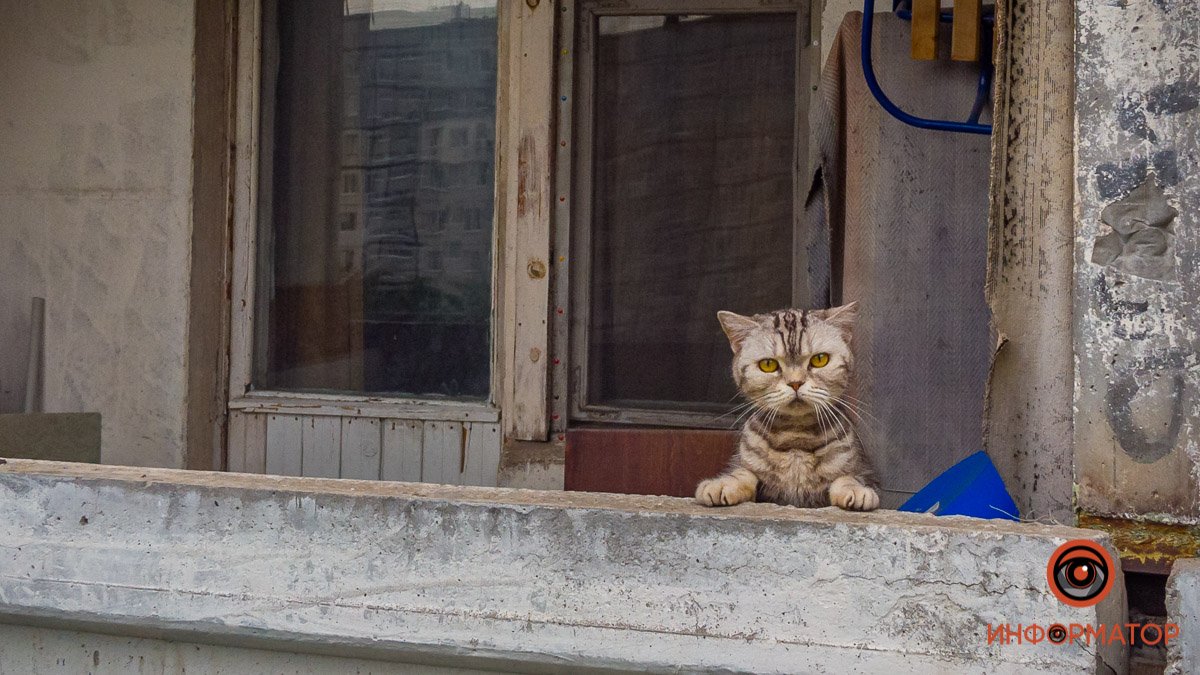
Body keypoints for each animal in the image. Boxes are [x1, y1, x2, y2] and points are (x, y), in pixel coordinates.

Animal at [696, 305, 883, 509]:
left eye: (820, 359)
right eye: (768, 364)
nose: (795, 382)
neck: (795, 436)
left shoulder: (863, 472)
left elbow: (848, 477)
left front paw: (855, 489)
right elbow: (742, 473)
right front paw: (723, 484)